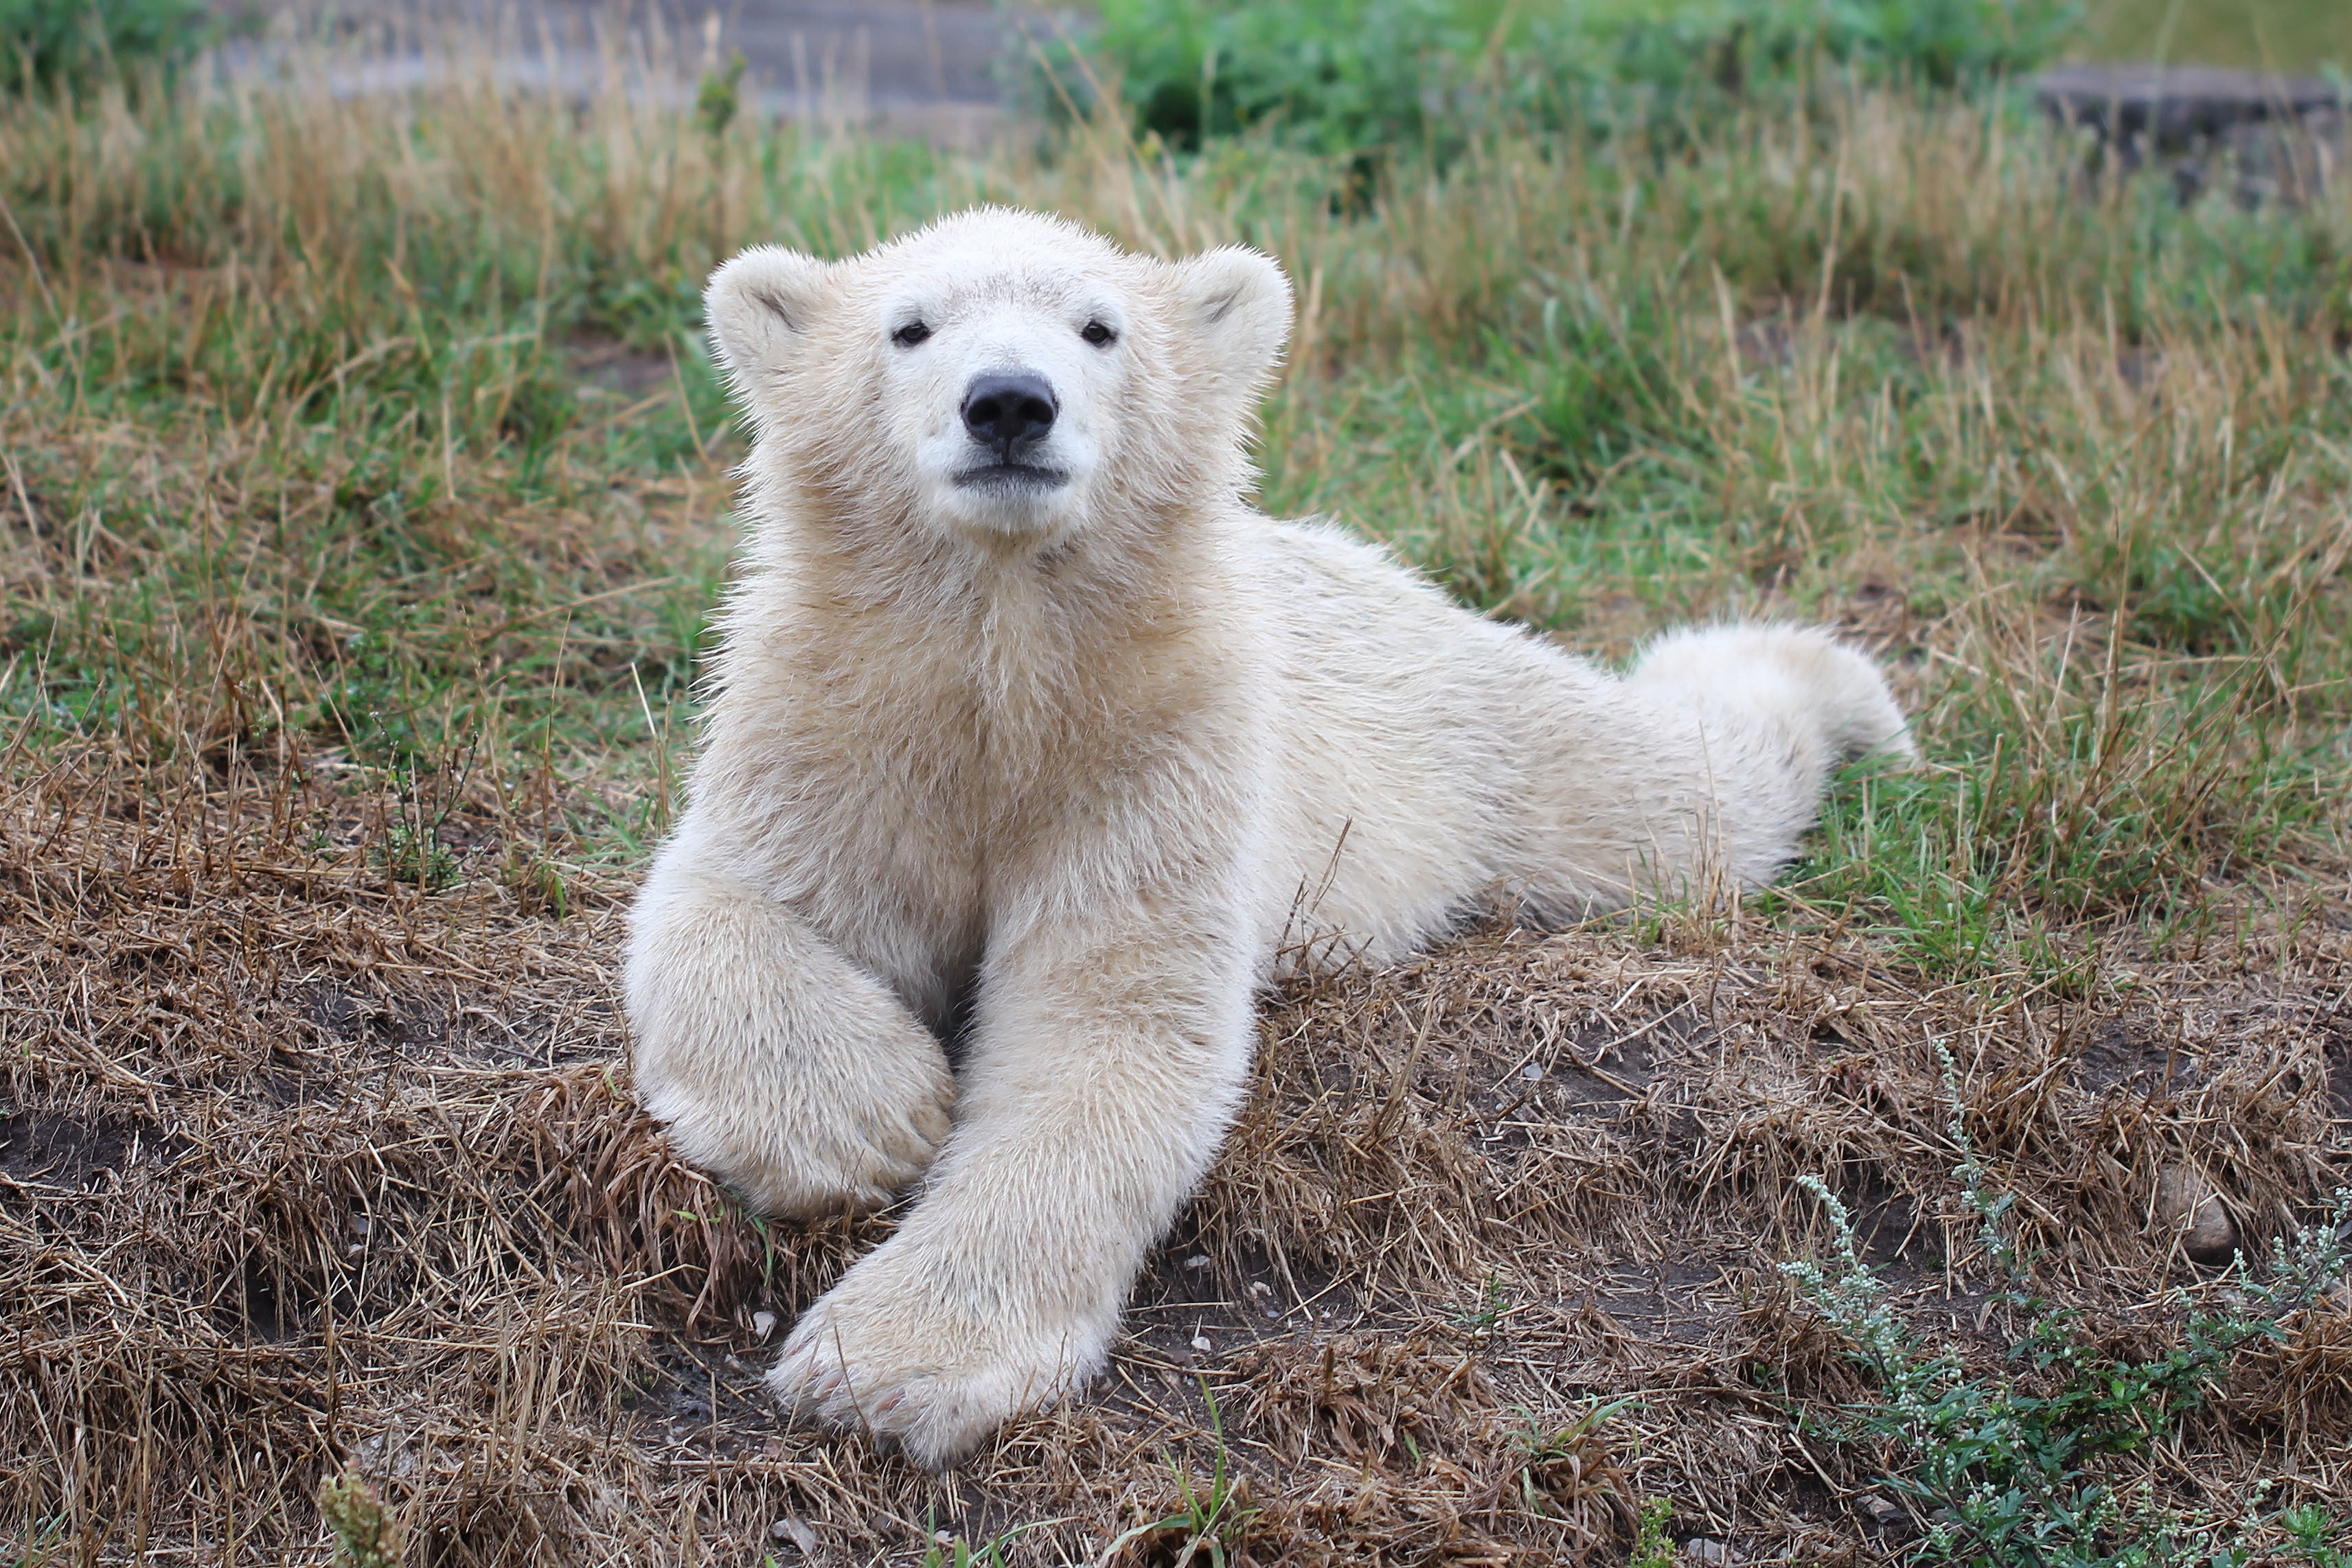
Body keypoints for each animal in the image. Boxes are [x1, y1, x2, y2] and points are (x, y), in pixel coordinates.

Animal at [623, 207, 1914, 1470]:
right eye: (909, 326)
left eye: (1099, 327)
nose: (1009, 403)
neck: (1006, 662)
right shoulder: (834, 723)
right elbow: (724, 897)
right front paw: (867, 1116)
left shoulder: (1163, 753)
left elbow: (1112, 1026)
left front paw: (891, 1364)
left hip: (1471, 738)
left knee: (1685, 799)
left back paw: (1838, 686)